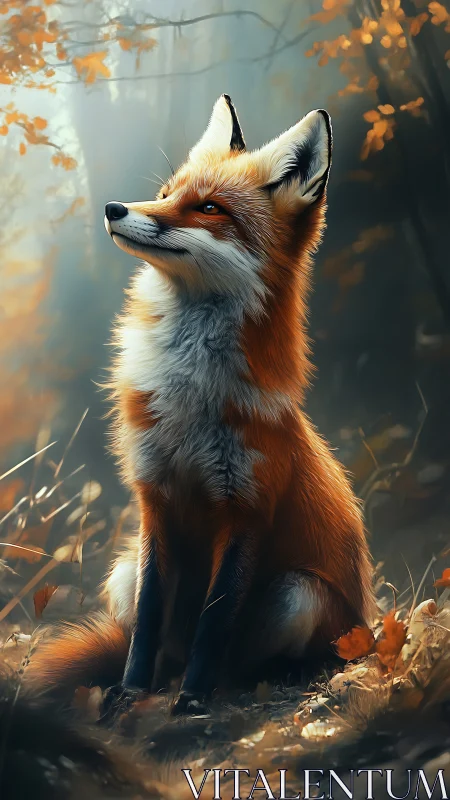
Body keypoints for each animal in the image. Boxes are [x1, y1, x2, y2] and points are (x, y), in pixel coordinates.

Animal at [25, 95, 375, 715]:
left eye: (209, 208)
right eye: (166, 193)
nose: (114, 207)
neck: (189, 402)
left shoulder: (247, 507)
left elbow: (215, 621)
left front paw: (191, 700)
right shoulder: (154, 499)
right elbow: (147, 618)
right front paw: (131, 691)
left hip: (298, 594)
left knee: (250, 660)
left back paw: (259, 682)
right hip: (121, 571)